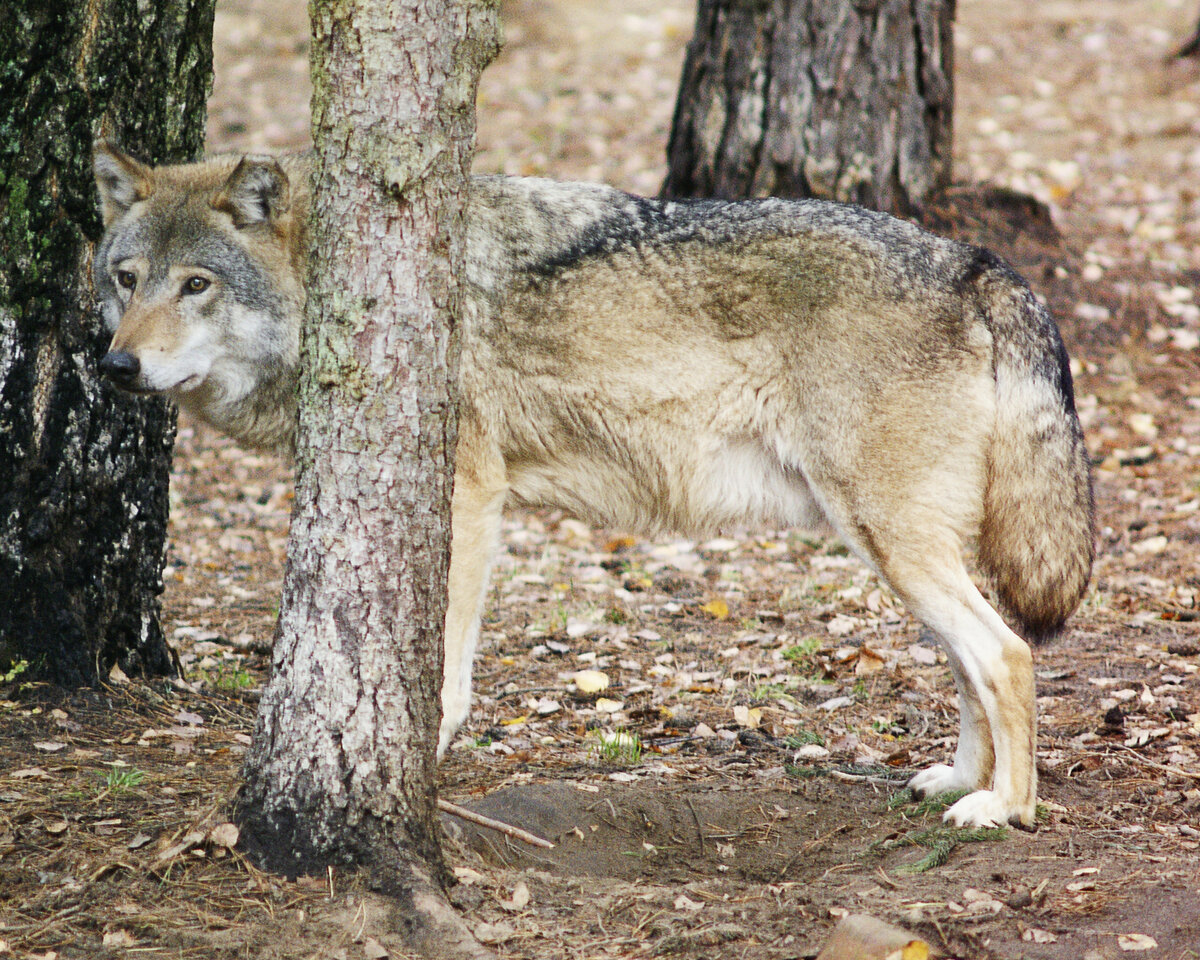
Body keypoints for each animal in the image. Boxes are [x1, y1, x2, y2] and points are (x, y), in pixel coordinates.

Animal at [88, 142, 1094, 830]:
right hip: (896, 553)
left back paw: (1003, 809)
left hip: (893, 543)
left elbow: (448, 671)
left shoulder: (469, 496)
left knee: (1009, 654)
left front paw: (424, 756)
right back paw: (957, 780)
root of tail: (975, 263)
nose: (115, 366)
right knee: (972, 659)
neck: (337, 295)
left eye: (198, 285)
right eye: (126, 279)